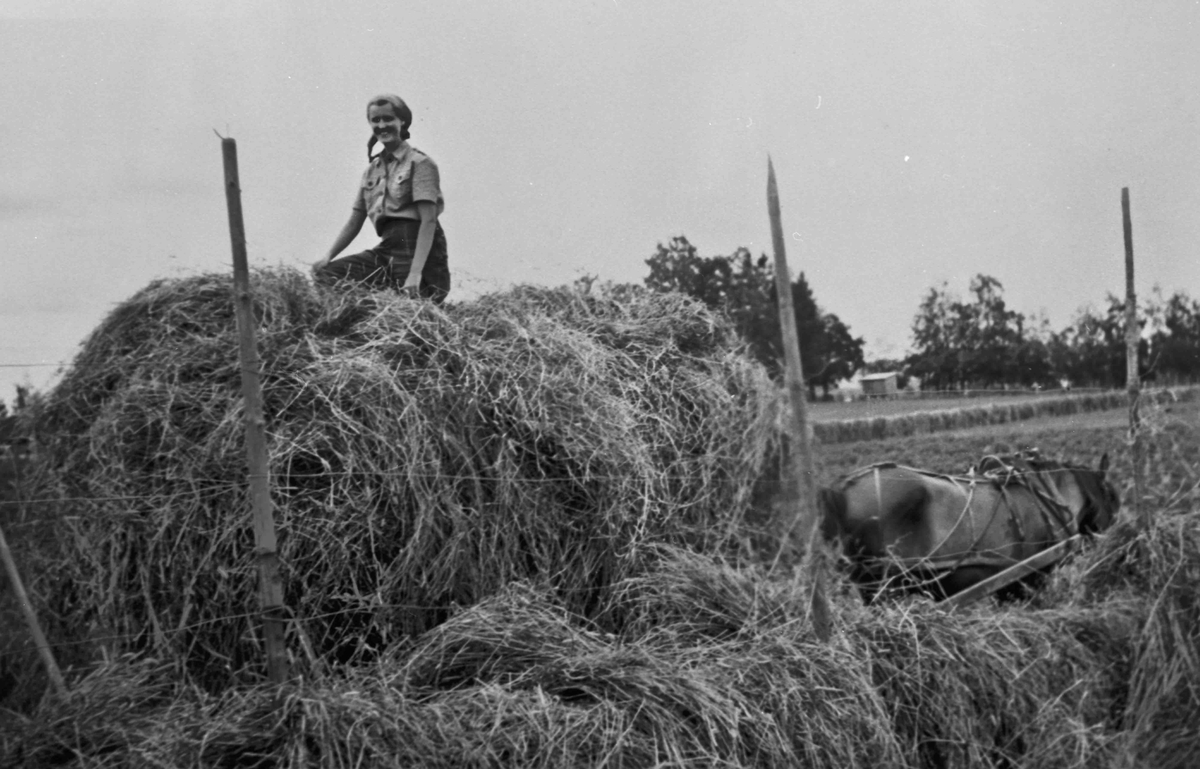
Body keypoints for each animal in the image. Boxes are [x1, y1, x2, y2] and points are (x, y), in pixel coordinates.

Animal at [820, 451, 1118, 599]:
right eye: (1113, 499)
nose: (1112, 545)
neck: (1045, 494)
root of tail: (842, 487)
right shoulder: (1030, 578)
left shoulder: (1007, 584)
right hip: (884, 588)